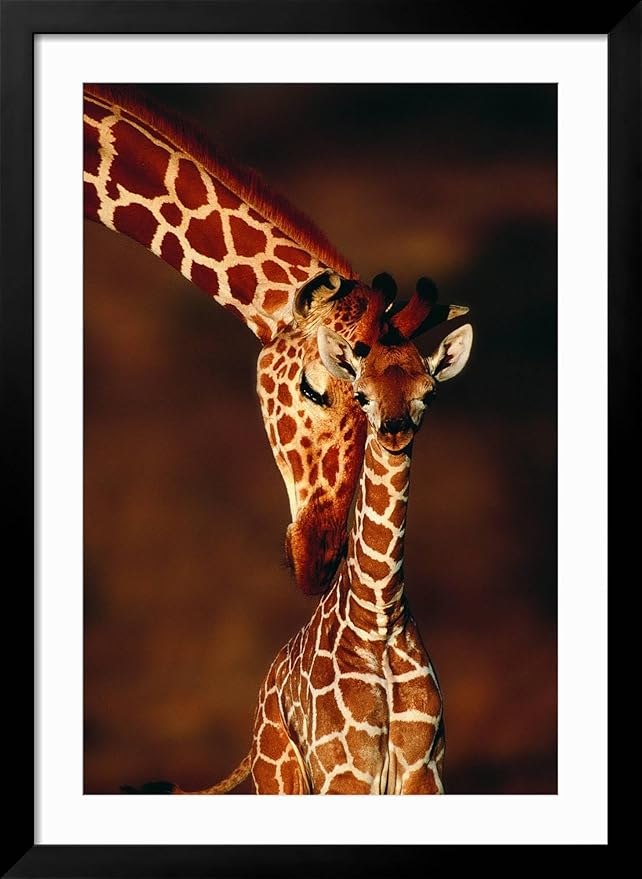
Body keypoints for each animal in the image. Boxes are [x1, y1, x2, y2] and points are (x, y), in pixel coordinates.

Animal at [149, 293, 473, 795]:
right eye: (361, 393)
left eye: (429, 392)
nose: (394, 429)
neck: (379, 618)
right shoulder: (345, 773)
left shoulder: (425, 772)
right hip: (280, 776)